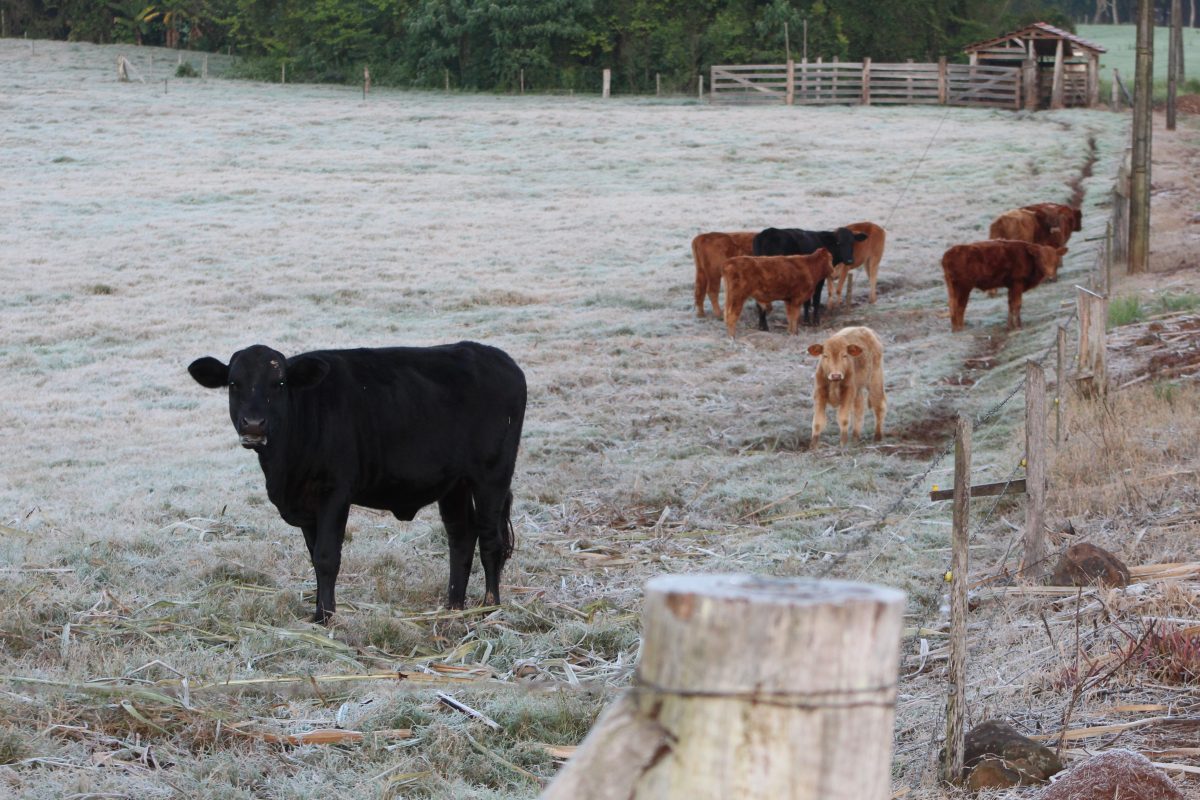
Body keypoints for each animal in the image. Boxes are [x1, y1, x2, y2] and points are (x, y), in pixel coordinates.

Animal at [187, 340, 525, 623]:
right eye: (234, 384)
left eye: (279, 384)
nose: (254, 425)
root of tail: (498, 358)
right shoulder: (306, 505)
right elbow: (315, 557)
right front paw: (320, 610)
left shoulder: (335, 492)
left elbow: (326, 556)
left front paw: (324, 617)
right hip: (455, 484)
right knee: (461, 536)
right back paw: (454, 605)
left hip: (492, 475)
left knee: (490, 540)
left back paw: (490, 607)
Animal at [936, 237, 1070, 331]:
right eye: (1041, 259)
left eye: (1056, 259)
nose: (1050, 275)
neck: (1027, 257)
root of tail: (947, 255)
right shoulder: (1017, 283)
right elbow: (1017, 304)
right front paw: (1018, 326)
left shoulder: (1011, 286)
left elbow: (1010, 304)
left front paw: (1010, 325)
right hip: (963, 287)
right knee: (959, 308)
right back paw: (960, 329)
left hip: (952, 287)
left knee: (952, 306)